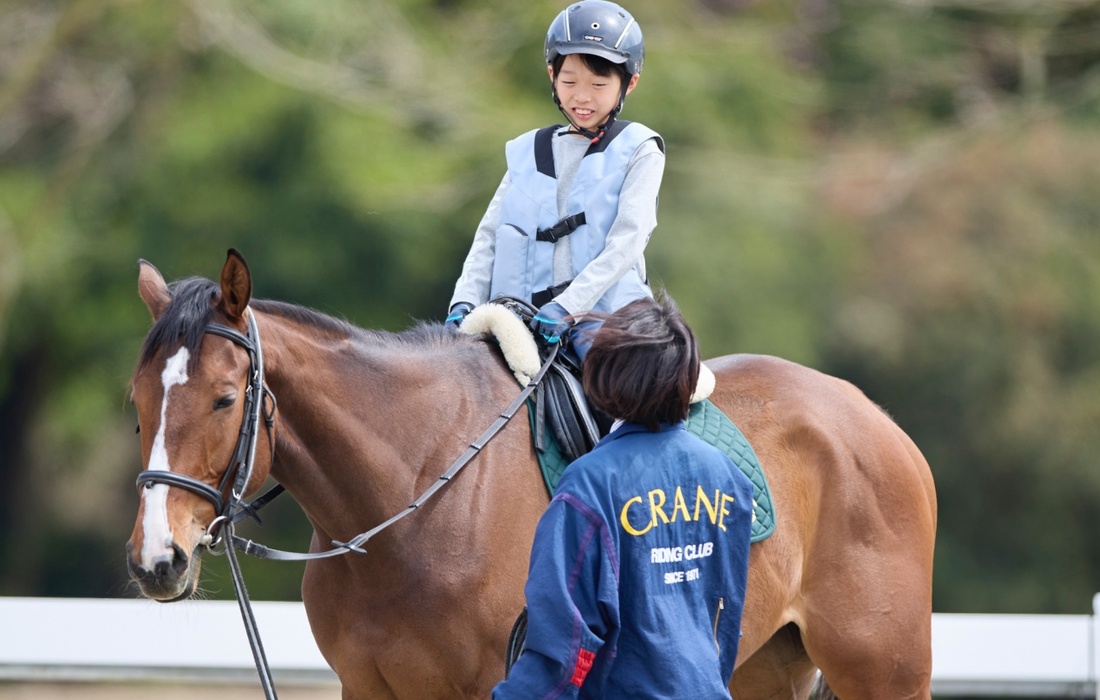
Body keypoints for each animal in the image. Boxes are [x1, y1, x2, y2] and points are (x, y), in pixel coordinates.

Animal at [125, 249, 937, 699]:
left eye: (225, 398)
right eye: (137, 404)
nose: (158, 561)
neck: (415, 500)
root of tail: (874, 418)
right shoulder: (370, 689)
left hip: (886, 672)